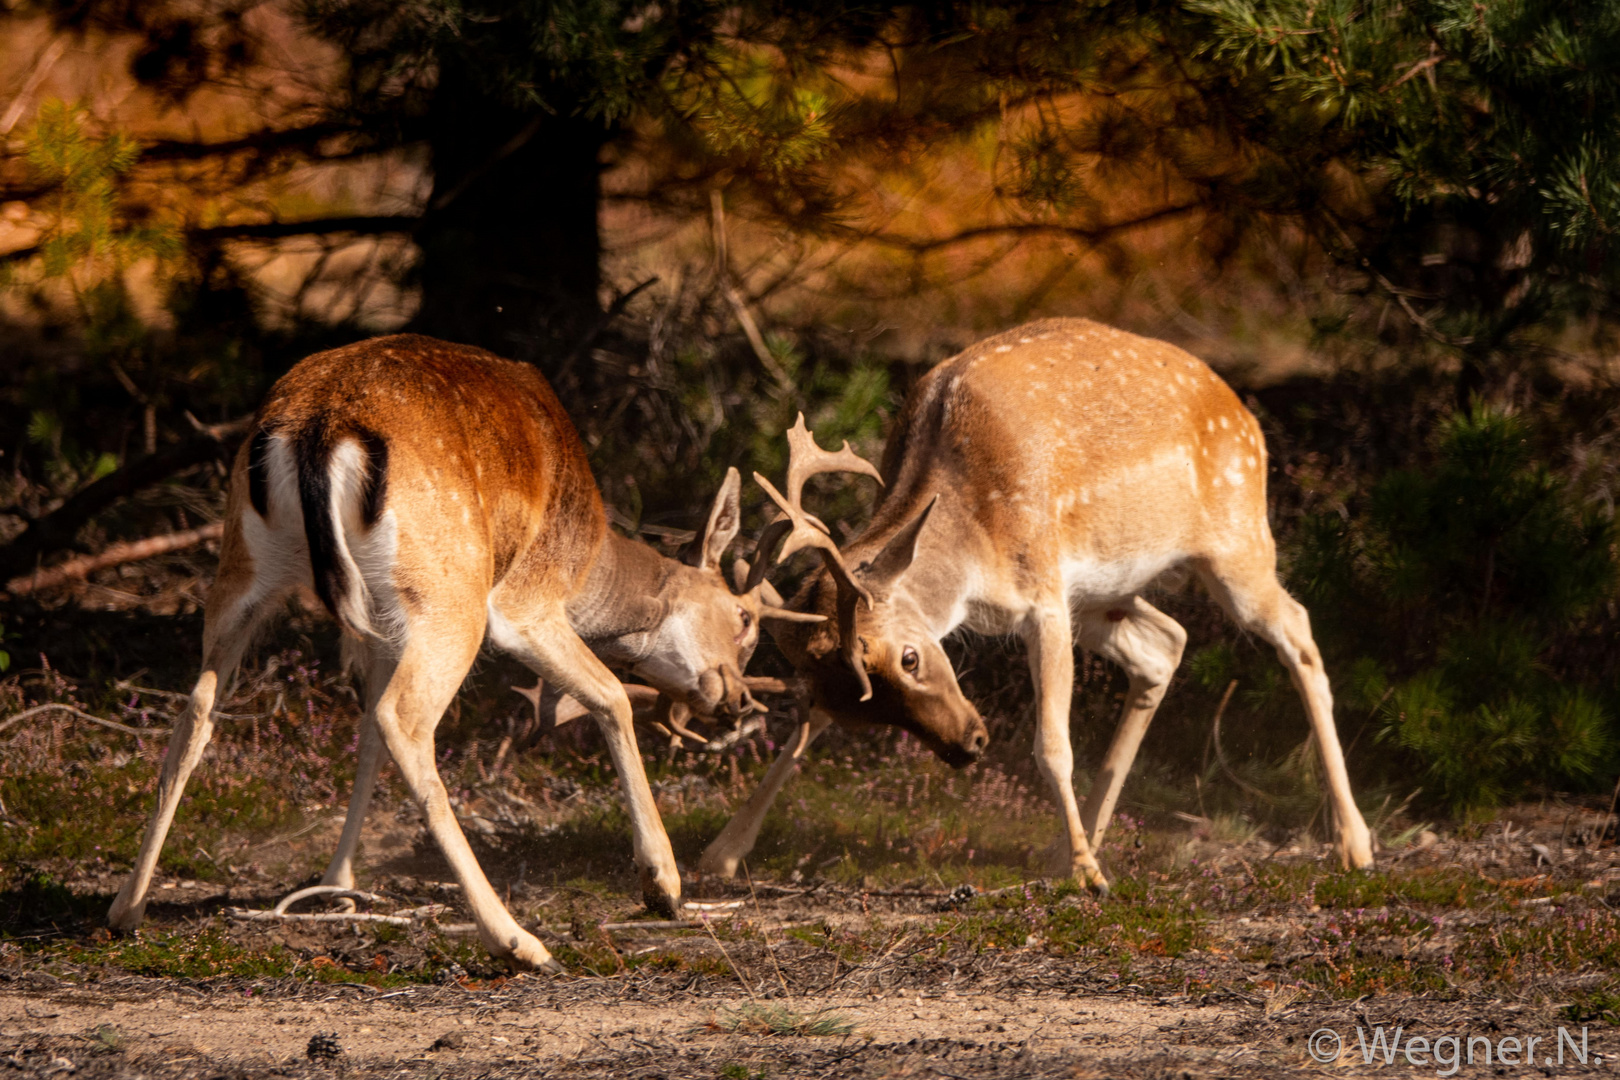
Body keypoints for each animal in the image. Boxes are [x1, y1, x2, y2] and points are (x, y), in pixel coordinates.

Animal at [109, 335, 816, 971]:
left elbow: (363, 738)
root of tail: (317, 428)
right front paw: (663, 886)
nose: (735, 698)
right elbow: (611, 696)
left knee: (200, 711)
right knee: (405, 719)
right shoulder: (527, 604)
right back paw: (518, 941)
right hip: (450, 593)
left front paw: (338, 883)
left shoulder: (379, 629)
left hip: (245, 574)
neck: (588, 560)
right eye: (745, 618)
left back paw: (126, 911)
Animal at [703, 318, 1373, 887]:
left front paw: (1087, 876)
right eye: (851, 704)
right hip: (1107, 595)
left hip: (1237, 543)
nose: (968, 745)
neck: (973, 545)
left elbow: (1052, 743)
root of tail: (1246, 415)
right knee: (1166, 644)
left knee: (1298, 630)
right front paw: (724, 852)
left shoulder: (1044, 594)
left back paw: (1355, 844)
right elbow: (801, 734)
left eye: (911, 658)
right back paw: (1072, 844)